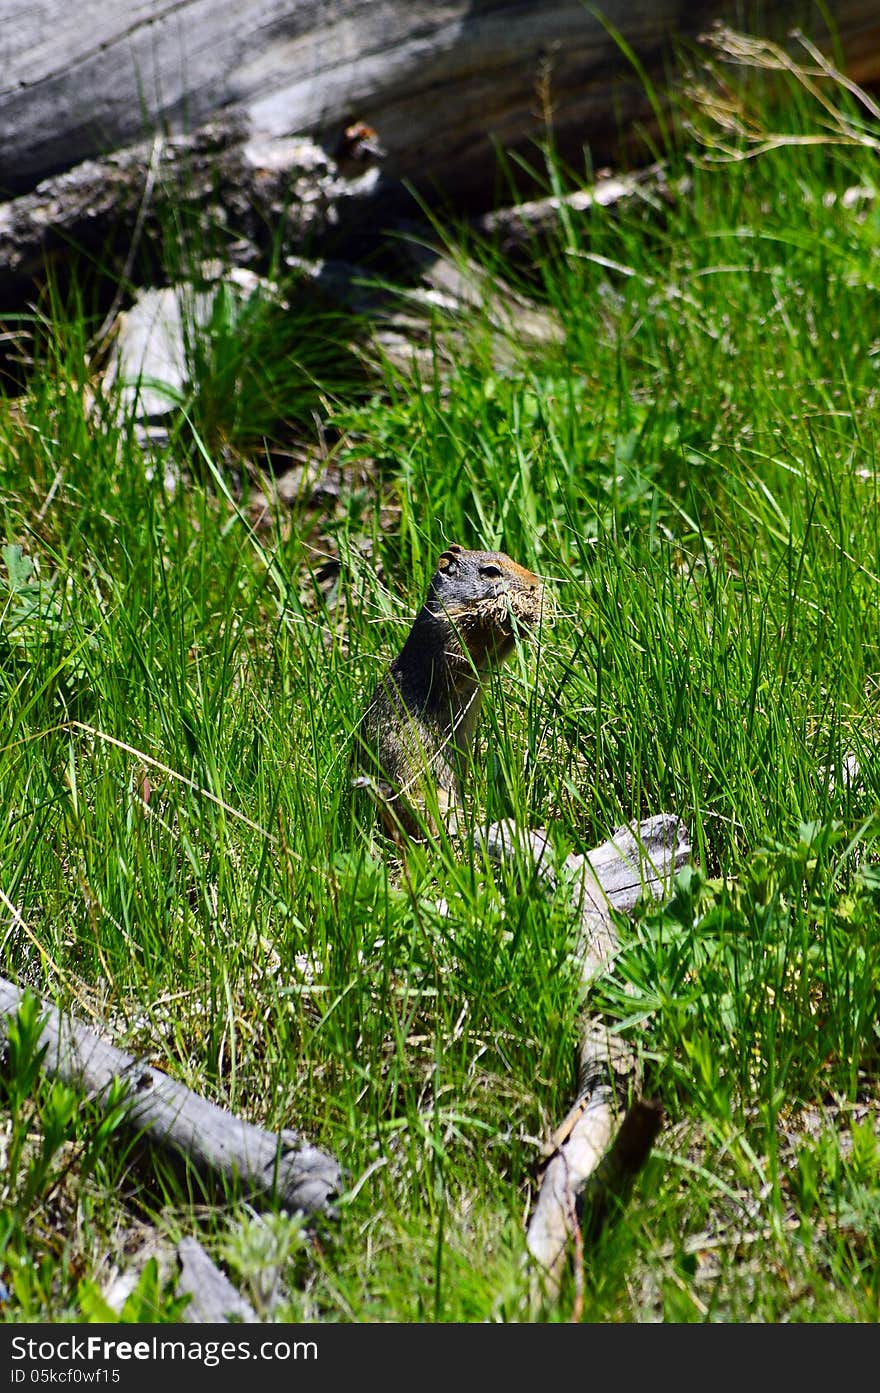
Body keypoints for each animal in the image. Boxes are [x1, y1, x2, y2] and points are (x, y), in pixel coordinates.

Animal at [356, 543, 543, 835]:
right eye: (491, 571)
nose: (535, 583)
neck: (455, 605)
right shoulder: (448, 639)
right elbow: (470, 655)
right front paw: (506, 616)